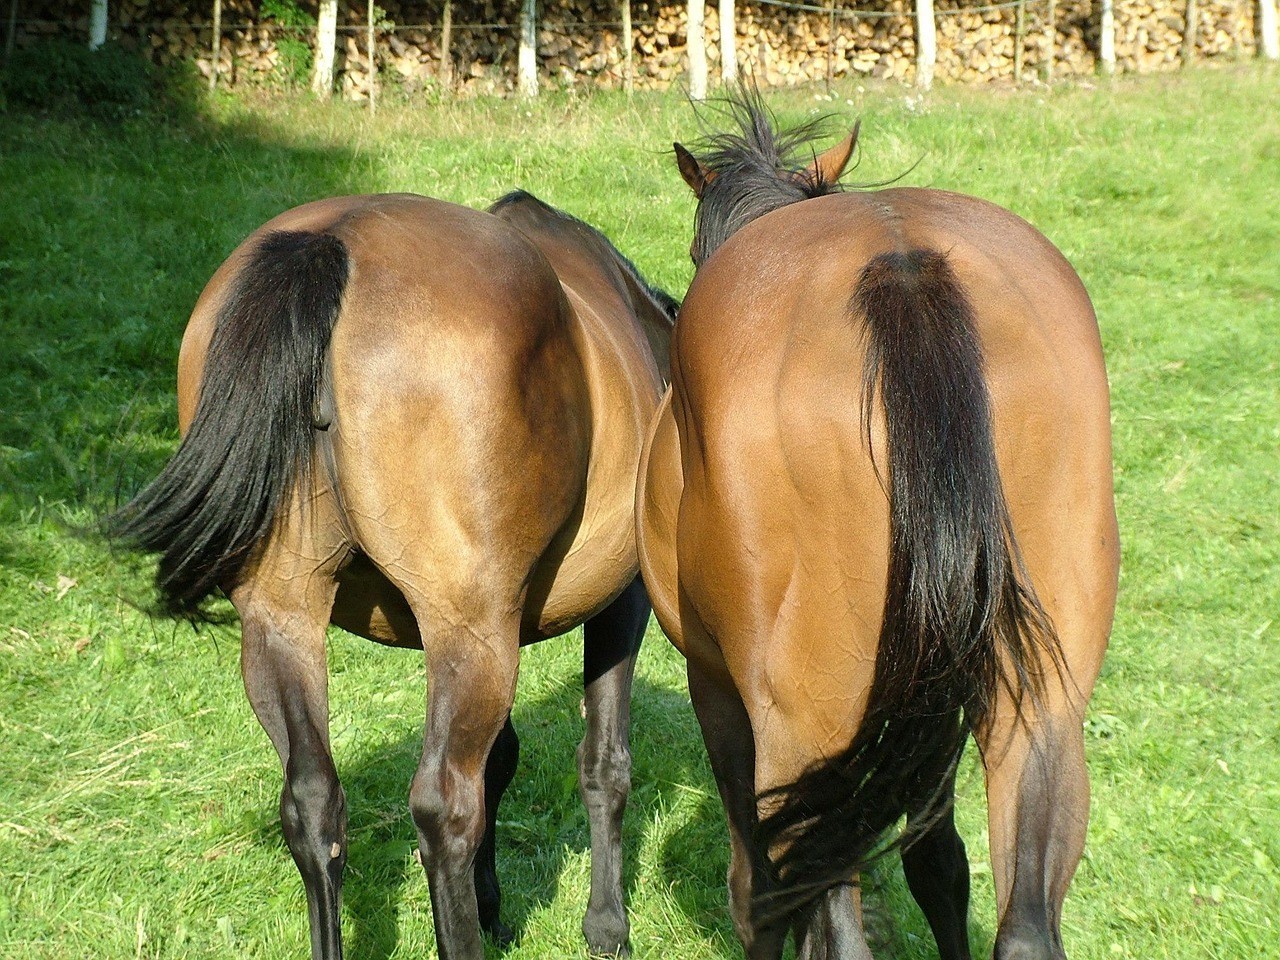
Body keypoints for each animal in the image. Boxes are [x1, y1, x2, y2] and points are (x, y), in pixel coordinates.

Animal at [105, 188, 677, 960]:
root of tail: (333, 241)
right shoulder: (618, 601)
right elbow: (603, 763)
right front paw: (606, 927)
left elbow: (504, 759)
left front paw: (496, 908)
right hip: (468, 632)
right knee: (445, 806)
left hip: (286, 620)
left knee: (313, 802)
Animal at [636, 91, 1118, 960]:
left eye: (693, 248)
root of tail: (903, 266)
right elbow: (940, 862)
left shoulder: (716, 689)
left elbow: (756, 891)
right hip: (1039, 707)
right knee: (1027, 922)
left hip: (807, 723)